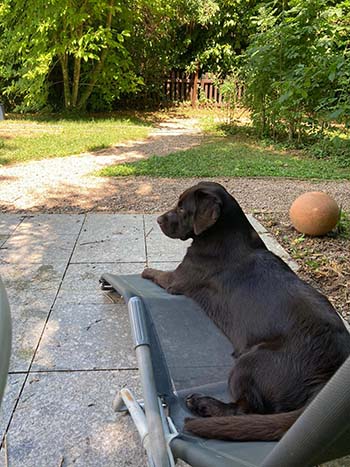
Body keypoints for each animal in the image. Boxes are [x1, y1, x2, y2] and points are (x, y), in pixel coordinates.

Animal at [142, 182, 350, 442]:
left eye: (182, 208)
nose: (158, 220)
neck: (225, 235)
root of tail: (326, 380)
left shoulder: (176, 279)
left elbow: (155, 272)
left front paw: (145, 271)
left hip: (251, 361)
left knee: (243, 410)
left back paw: (203, 404)